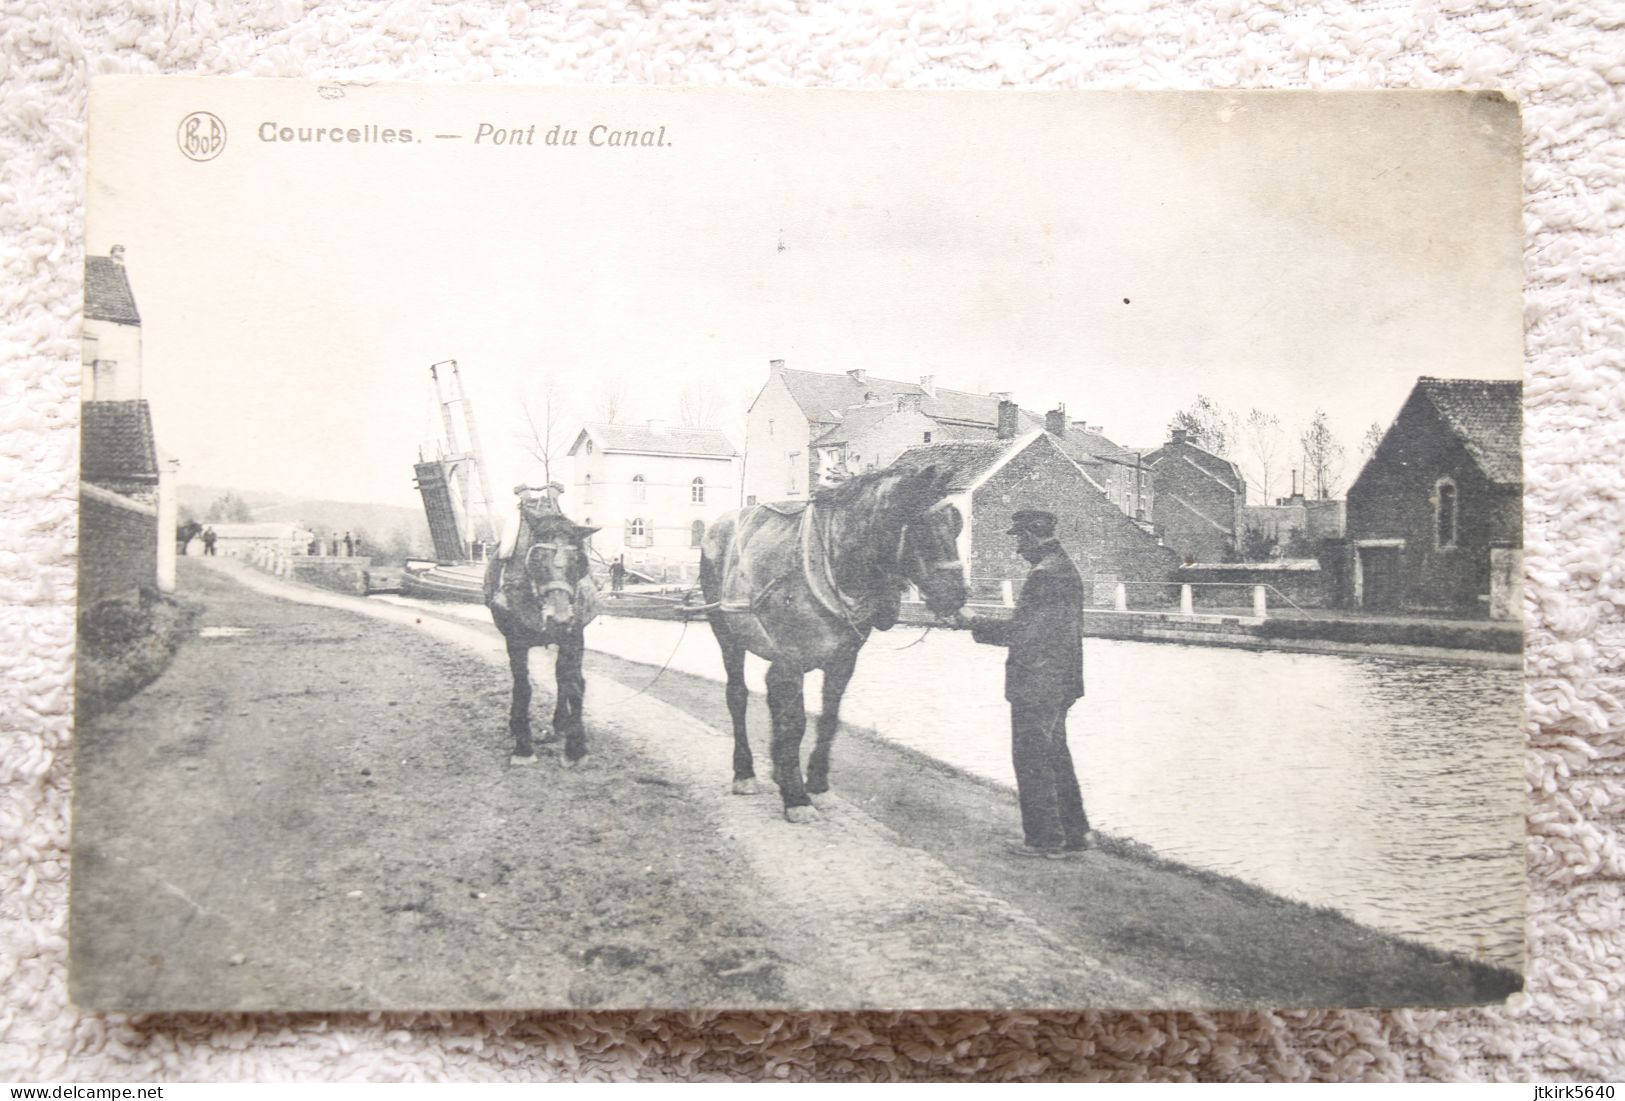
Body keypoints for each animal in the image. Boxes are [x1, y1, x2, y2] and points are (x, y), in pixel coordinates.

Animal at [487, 503, 604, 766]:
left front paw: (575, 748)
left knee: (564, 676)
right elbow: (523, 686)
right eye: (537, 559)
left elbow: (572, 684)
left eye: (578, 561)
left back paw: (561, 723)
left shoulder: (574, 637)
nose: (558, 618)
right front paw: (523, 747)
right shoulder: (515, 641)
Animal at [698, 464, 962, 818]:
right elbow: (795, 722)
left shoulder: (843, 661)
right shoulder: (791, 658)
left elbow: (828, 719)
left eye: (956, 522)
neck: (834, 563)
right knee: (737, 696)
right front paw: (796, 797)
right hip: (727, 635)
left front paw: (815, 784)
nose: (957, 595)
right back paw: (745, 772)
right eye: (921, 527)